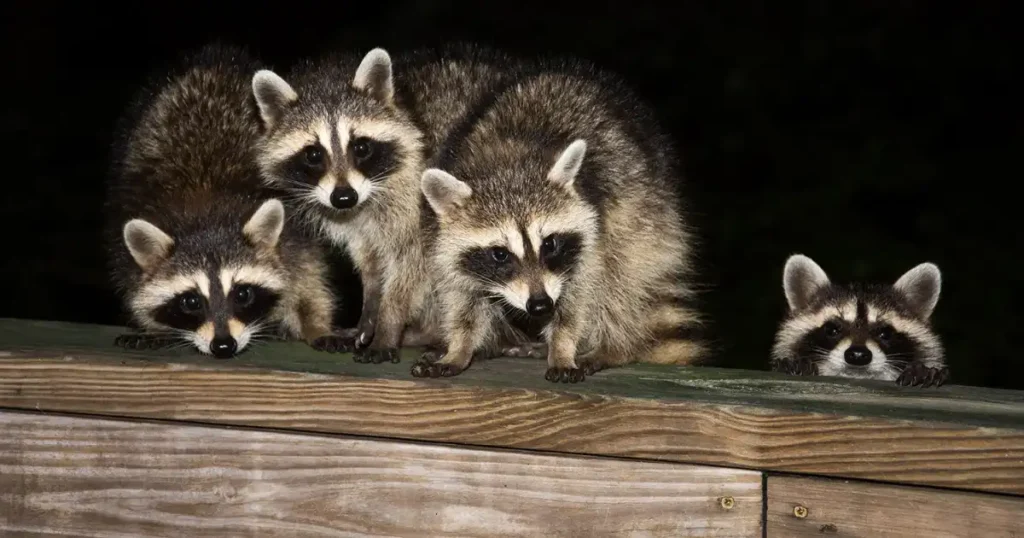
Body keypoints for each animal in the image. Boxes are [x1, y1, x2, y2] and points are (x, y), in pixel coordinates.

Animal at [107, 44, 339, 358]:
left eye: (242, 293)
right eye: (191, 301)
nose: (224, 345)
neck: (206, 213)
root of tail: (215, 59)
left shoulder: (295, 231)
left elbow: (308, 278)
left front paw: (315, 325)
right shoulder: (129, 225)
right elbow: (136, 287)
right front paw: (152, 326)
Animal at [247, 44, 520, 362]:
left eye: (361, 147)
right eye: (313, 155)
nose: (344, 197)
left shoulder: (419, 198)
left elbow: (413, 265)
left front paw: (389, 324)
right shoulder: (355, 221)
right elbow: (370, 260)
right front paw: (371, 308)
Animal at [411, 58, 708, 381]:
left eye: (550, 243)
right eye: (500, 254)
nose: (540, 305)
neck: (508, 166)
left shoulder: (592, 232)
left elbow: (579, 295)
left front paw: (563, 346)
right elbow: (463, 295)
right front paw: (459, 347)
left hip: (643, 211)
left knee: (624, 278)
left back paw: (613, 347)